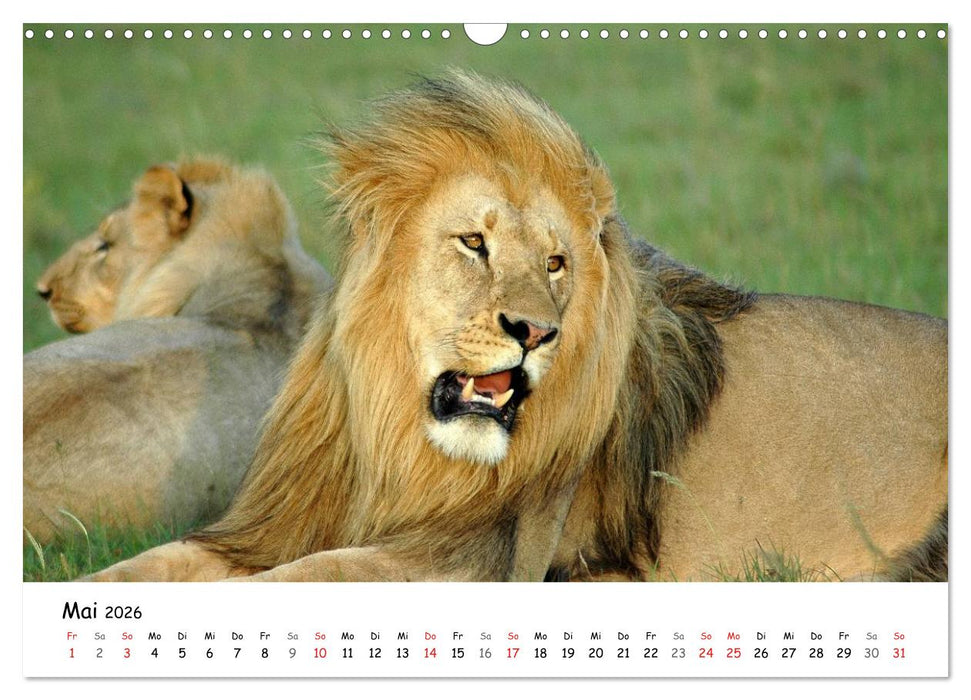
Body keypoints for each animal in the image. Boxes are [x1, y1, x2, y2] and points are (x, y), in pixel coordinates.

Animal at [86, 72, 946, 583]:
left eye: (557, 263)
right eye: (474, 243)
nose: (534, 332)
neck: (399, 442)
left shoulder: (476, 558)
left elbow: (304, 580)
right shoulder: (273, 525)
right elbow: (151, 565)